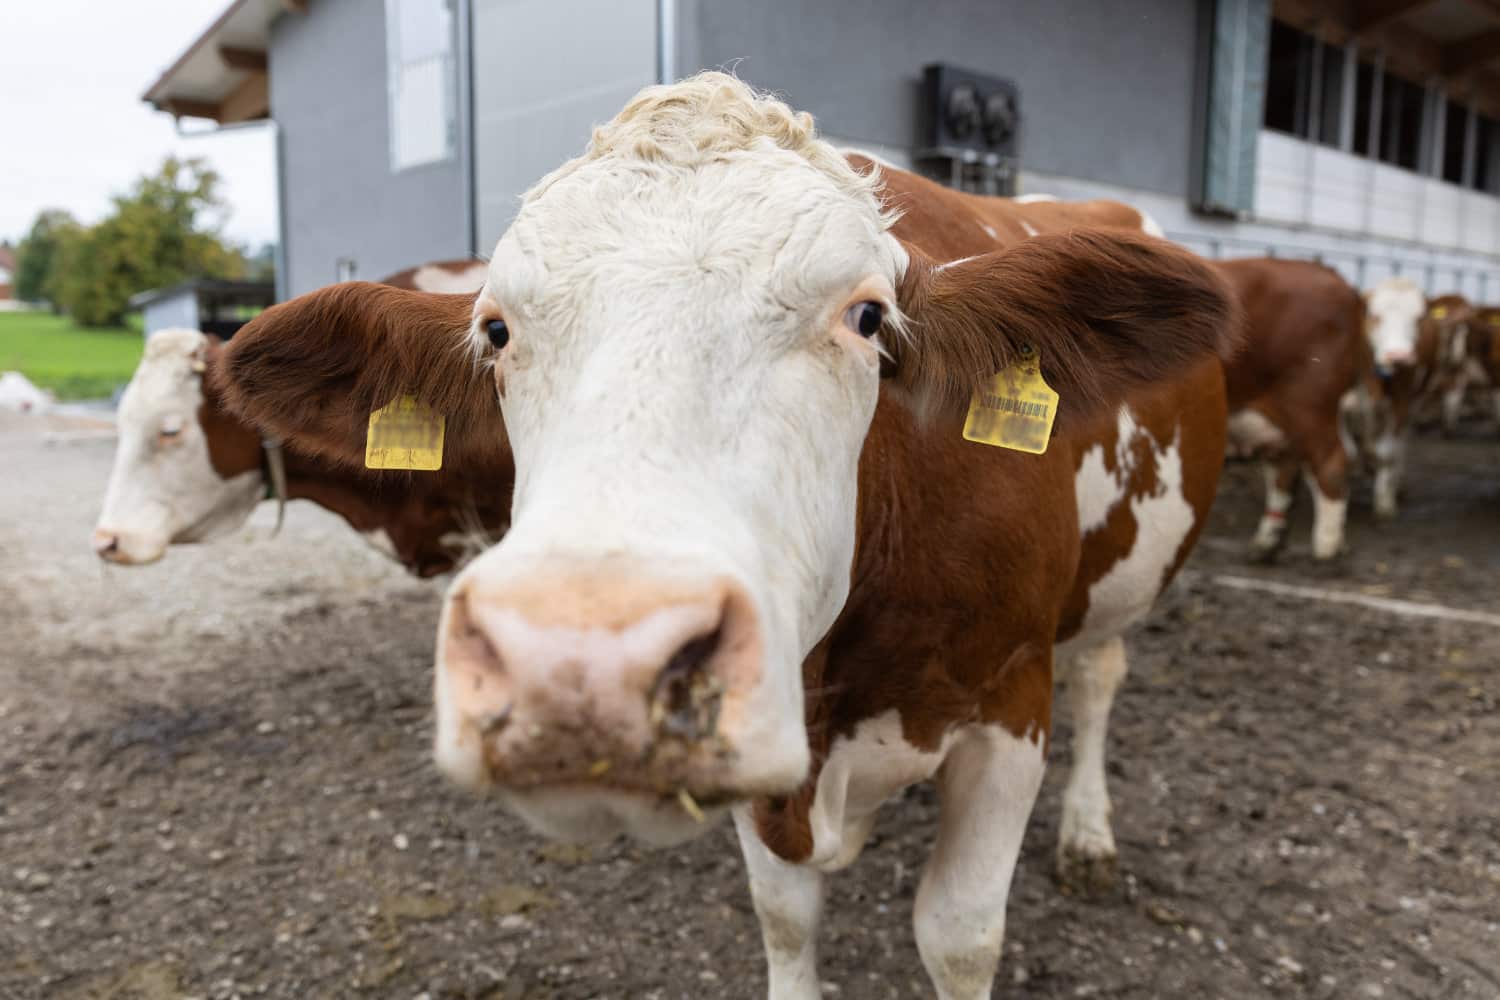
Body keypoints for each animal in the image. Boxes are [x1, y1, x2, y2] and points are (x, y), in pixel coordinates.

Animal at [217, 74, 1238, 998]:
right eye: (496, 332)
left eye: (868, 316)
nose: (579, 665)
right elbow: (785, 917)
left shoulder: (1009, 706)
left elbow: (958, 935)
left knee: (1101, 677)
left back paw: (1090, 833)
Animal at [1356, 280, 1475, 517]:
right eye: (1375, 315)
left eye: (1419, 318)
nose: (1398, 355)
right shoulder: (1363, 399)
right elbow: (1366, 442)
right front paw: (1369, 467)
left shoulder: (1403, 400)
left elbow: (1387, 450)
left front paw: (1384, 501)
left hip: (1415, 400)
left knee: (1402, 439)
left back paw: (1397, 483)